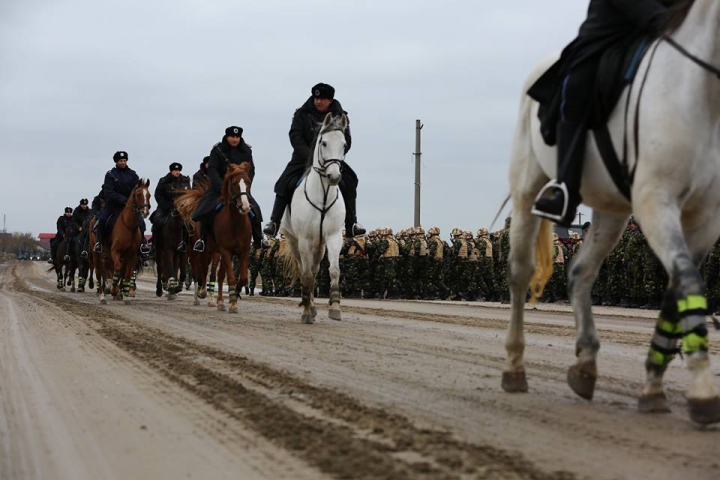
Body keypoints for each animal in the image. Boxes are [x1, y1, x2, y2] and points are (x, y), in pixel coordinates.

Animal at [280, 112, 348, 322]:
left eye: (344, 144)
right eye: (323, 143)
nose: (334, 176)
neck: (324, 195)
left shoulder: (334, 237)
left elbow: (334, 270)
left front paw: (335, 306)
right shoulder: (304, 239)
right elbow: (307, 275)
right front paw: (306, 312)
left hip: (319, 245)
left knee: (315, 268)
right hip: (294, 241)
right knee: (305, 271)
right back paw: (307, 304)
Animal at [504, 0, 720, 426]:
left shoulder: (706, 219)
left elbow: (676, 290)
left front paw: (653, 384)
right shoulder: (655, 202)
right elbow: (688, 281)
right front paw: (703, 390)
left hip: (610, 209)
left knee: (580, 273)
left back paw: (586, 365)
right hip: (527, 188)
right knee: (520, 273)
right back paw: (515, 368)